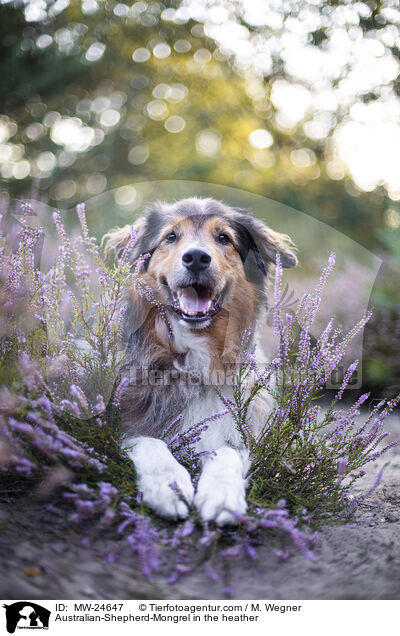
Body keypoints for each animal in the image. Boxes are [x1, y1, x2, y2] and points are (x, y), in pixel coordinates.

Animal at [104, 199, 296, 528]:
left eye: (224, 238)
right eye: (170, 236)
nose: (196, 258)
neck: (192, 357)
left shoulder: (236, 430)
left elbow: (226, 453)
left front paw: (221, 496)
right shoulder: (124, 420)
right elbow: (150, 442)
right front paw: (170, 486)